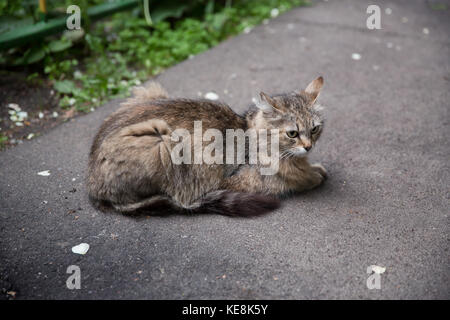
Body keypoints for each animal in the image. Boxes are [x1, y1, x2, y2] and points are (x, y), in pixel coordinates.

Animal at [87, 78, 326, 218]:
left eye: (314, 129)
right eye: (292, 134)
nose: (308, 147)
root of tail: (92, 187)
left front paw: (314, 169)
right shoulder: (235, 182)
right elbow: (291, 182)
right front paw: (312, 177)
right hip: (165, 142)